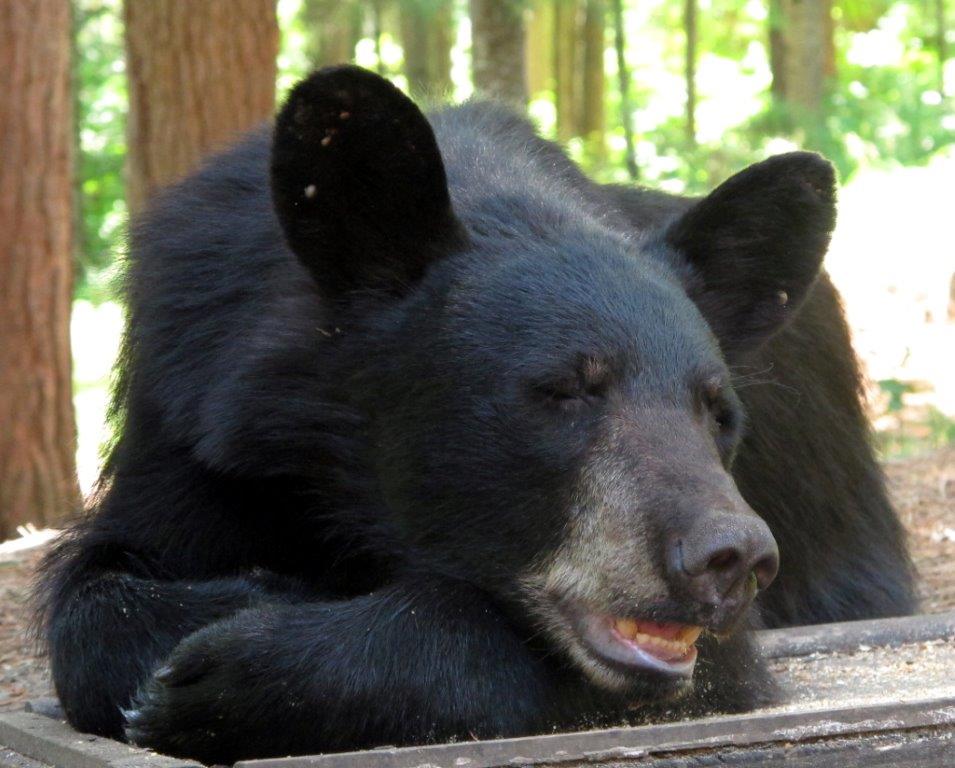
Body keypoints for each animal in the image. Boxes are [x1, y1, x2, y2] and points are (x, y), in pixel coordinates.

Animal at [37, 66, 916, 764]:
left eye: (718, 412)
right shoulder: (191, 405)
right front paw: (223, 607)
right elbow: (103, 591)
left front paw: (234, 669)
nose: (730, 558)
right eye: (563, 389)